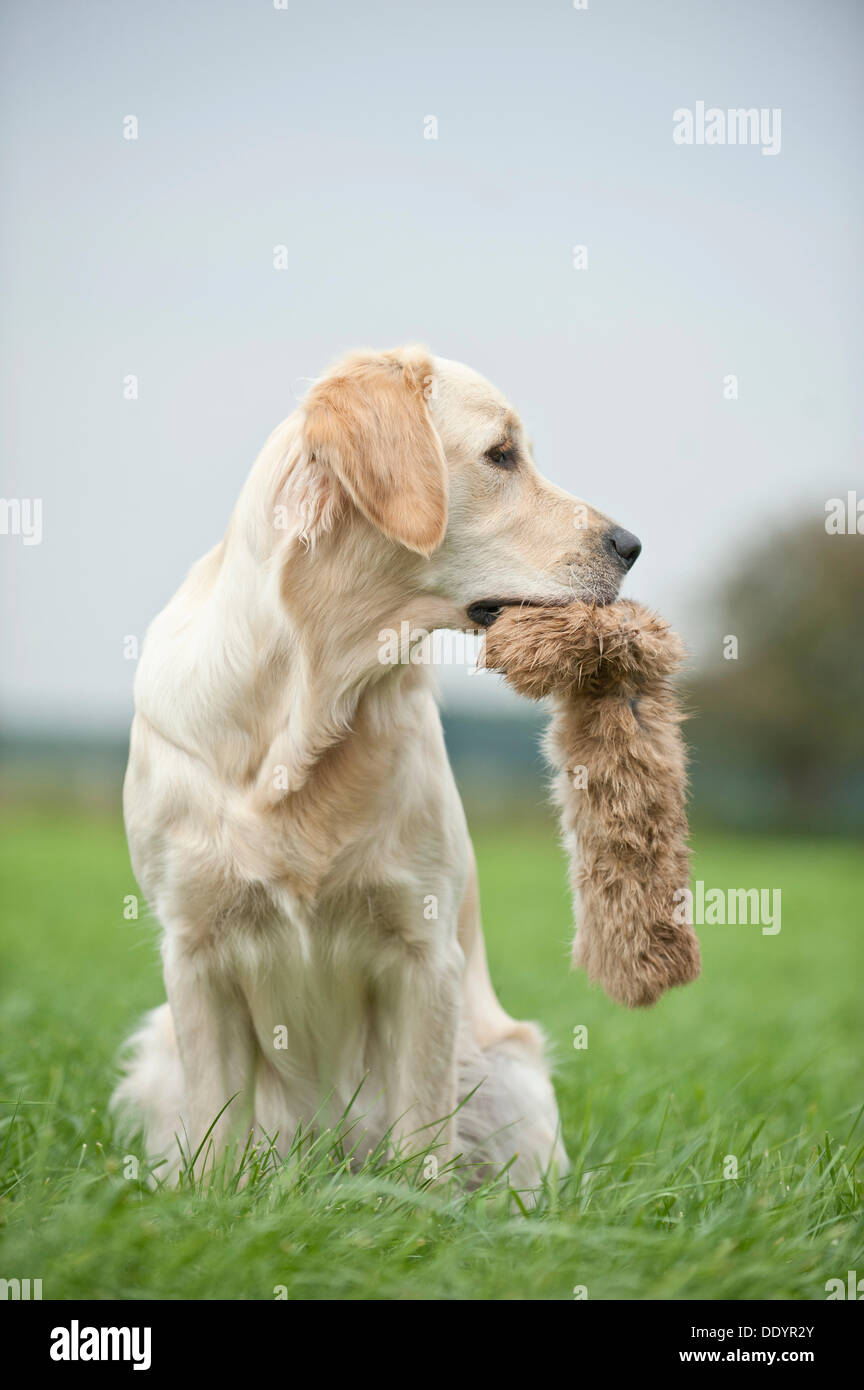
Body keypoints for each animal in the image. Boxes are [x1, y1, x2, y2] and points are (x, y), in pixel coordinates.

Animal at [113, 344, 644, 1184]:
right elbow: (216, 1134)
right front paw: (210, 1200)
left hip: (509, 1070)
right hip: (159, 1052)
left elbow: (422, 1135)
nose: (631, 545)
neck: (307, 707)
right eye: (502, 454)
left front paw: (421, 1207)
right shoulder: (194, 950)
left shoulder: (423, 954)